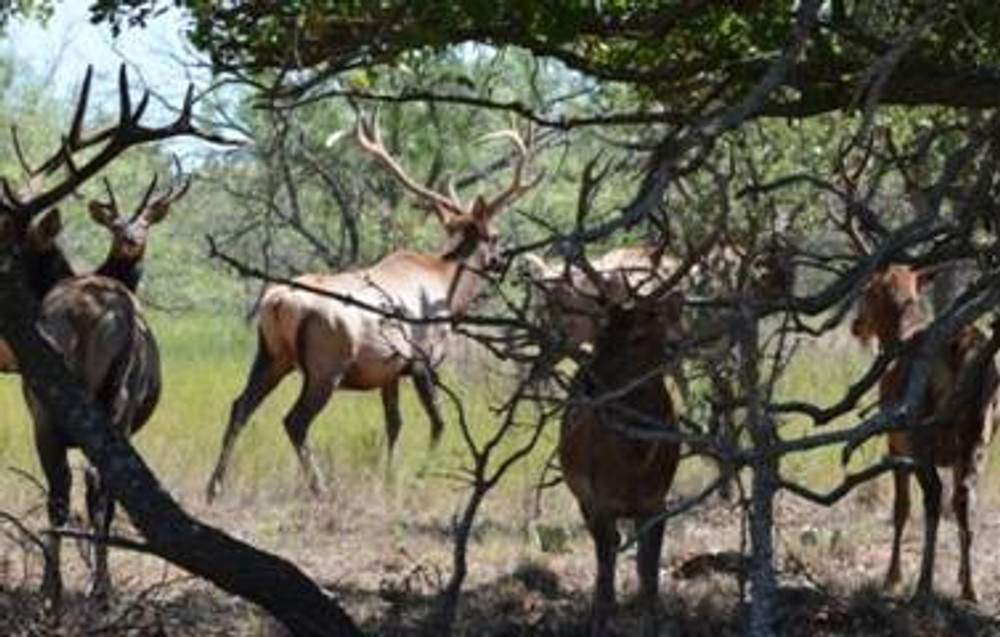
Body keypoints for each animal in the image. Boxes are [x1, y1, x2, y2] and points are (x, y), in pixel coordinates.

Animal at [202, 114, 540, 502]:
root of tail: (278, 303)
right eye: (495, 235)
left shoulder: (388, 372)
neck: (449, 290)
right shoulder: (422, 361)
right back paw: (319, 487)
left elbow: (394, 424)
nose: (502, 260)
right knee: (294, 420)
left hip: (271, 356)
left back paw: (214, 486)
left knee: (239, 407)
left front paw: (388, 476)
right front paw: (419, 476)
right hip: (326, 365)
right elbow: (438, 422)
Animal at [852, 260, 1000, 600]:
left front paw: (892, 577)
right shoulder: (958, 454)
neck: (898, 335)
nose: (856, 325)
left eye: (867, 290)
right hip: (979, 435)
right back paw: (970, 588)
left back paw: (923, 582)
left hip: (921, 435)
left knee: (933, 494)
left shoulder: (895, 443)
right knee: (964, 496)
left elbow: (901, 508)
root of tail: (962, 351)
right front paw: (961, 576)